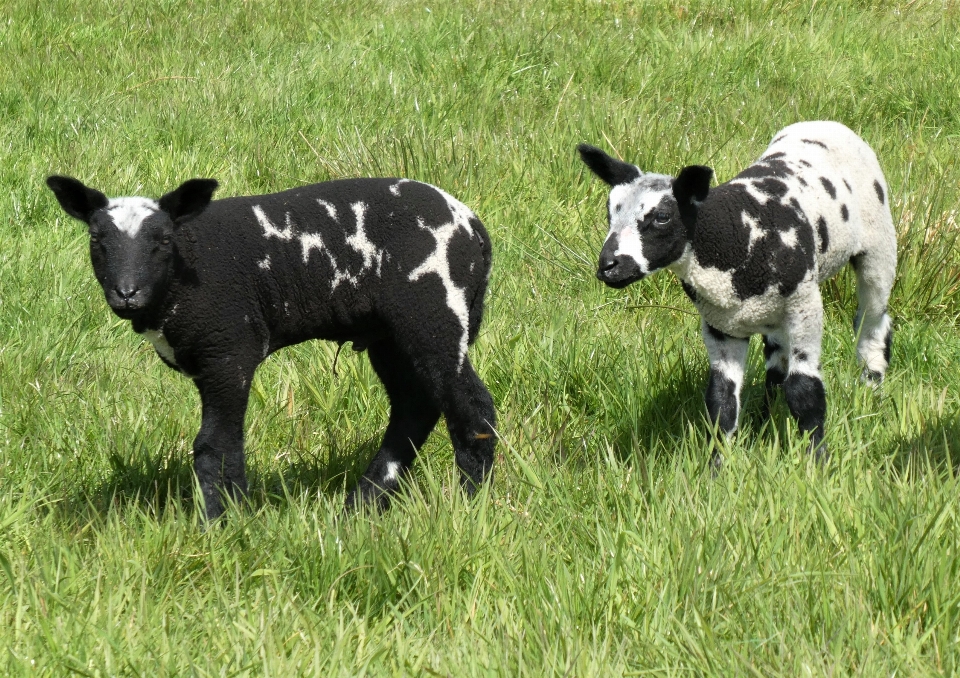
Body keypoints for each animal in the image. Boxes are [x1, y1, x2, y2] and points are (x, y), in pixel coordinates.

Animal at [47, 174, 496, 520]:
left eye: (162, 239)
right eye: (96, 238)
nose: (127, 293)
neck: (180, 272)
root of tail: (472, 225)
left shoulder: (229, 349)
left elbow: (216, 445)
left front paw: (222, 523)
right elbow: (224, 444)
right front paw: (232, 513)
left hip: (432, 313)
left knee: (471, 409)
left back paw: (471, 503)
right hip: (389, 335)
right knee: (414, 407)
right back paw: (362, 505)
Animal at [576, 122, 900, 460]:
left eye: (662, 217)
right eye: (609, 214)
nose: (608, 266)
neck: (735, 238)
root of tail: (826, 123)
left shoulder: (804, 306)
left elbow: (804, 390)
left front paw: (816, 459)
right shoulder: (720, 326)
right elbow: (721, 401)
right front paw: (718, 466)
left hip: (878, 247)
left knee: (872, 324)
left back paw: (872, 391)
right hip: (772, 312)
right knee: (776, 361)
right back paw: (766, 417)